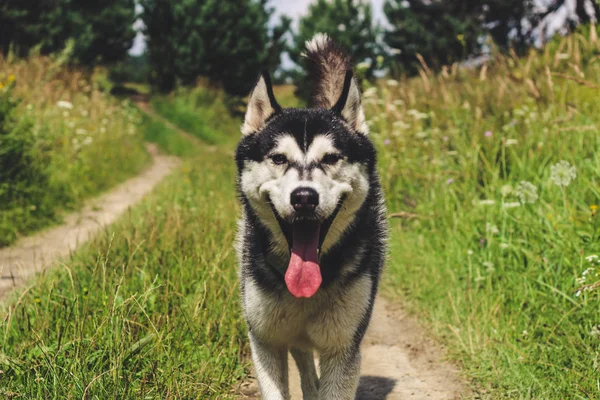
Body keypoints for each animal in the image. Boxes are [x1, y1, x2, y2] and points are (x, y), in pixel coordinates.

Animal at [234, 34, 384, 400]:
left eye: (330, 158)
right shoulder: (264, 340)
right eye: (278, 158)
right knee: (301, 354)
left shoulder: (344, 348)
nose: (304, 197)